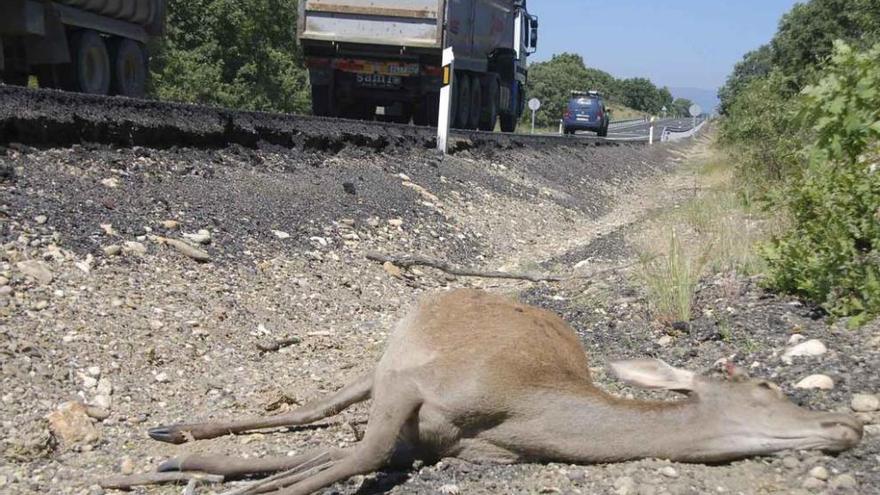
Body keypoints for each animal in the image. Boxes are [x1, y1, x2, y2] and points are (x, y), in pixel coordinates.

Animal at [141, 288, 864, 494]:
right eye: (767, 385)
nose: (848, 426)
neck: (525, 412)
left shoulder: (431, 442)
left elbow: (337, 456)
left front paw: (200, 471)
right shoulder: (415, 385)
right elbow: (352, 456)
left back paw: (174, 447)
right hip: (383, 361)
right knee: (320, 405)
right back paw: (173, 430)